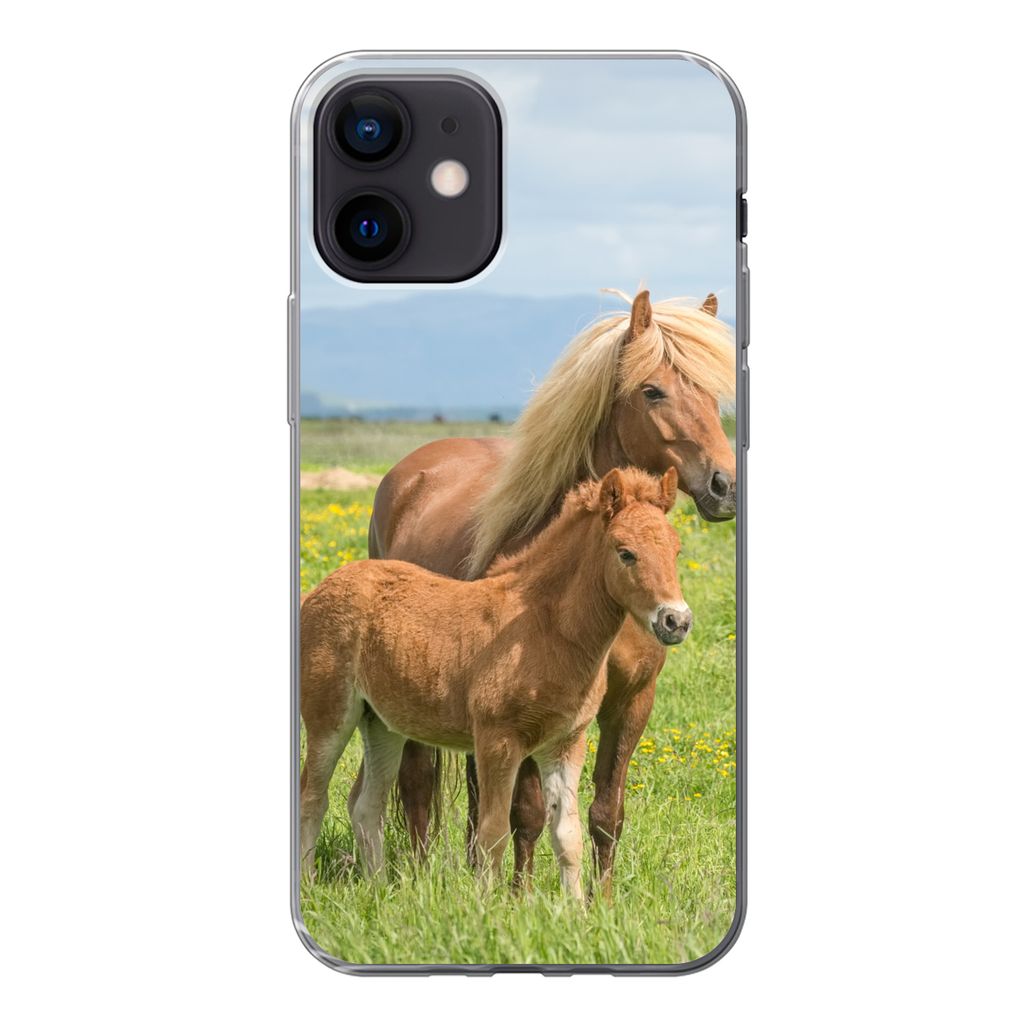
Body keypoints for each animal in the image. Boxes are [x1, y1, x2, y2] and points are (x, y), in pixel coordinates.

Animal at [300, 467, 689, 897]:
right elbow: (493, 832)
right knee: (312, 796)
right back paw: (308, 883)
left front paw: (575, 908)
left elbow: (567, 835)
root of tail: (323, 586)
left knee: (366, 804)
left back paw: (380, 889)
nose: (676, 620)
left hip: (382, 723)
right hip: (329, 715)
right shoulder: (497, 741)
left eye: (676, 551)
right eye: (625, 553)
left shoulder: (565, 743)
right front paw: (487, 905)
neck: (542, 627)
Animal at [357, 289, 736, 896]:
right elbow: (529, 813)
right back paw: (418, 876)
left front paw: (600, 900)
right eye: (652, 390)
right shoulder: (531, 709)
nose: (725, 486)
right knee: (418, 784)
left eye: (712, 392)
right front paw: (521, 898)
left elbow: (605, 813)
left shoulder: (631, 703)